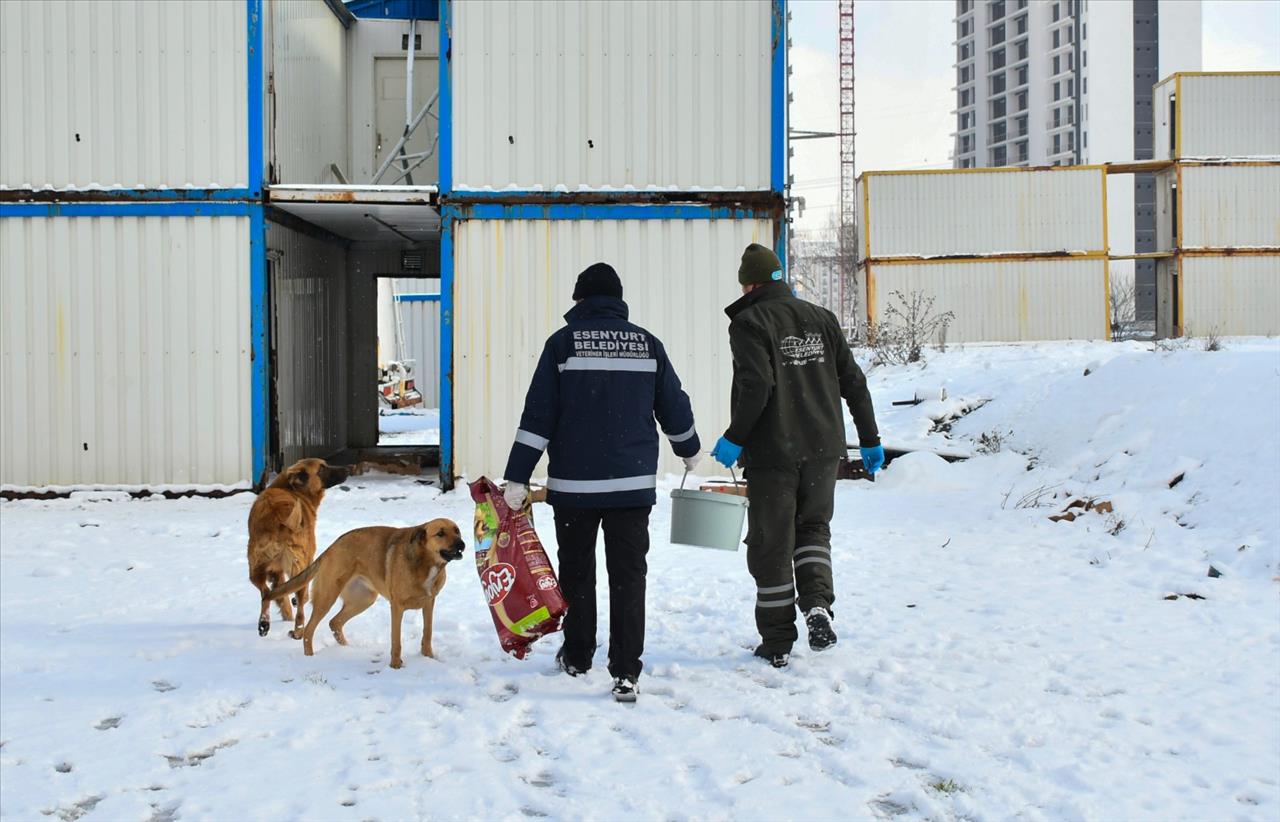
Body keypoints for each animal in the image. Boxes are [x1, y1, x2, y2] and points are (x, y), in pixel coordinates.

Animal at [247, 458, 348, 637]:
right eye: (322, 468)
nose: (348, 469)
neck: (292, 489)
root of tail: (280, 520)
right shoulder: (309, 559)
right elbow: (301, 593)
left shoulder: (276, 570)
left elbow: (280, 593)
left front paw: (286, 611)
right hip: (299, 563)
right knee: (300, 602)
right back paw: (298, 630)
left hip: (255, 567)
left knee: (265, 593)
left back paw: (264, 623)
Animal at [259, 517, 465, 665]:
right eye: (440, 533)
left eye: (457, 530)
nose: (461, 544)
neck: (427, 563)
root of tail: (331, 547)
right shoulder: (397, 607)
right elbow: (396, 640)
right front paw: (395, 666)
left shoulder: (429, 603)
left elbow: (427, 633)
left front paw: (428, 658)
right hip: (328, 596)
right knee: (309, 631)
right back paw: (310, 658)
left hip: (364, 599)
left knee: (335, 622)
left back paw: (345, 650)